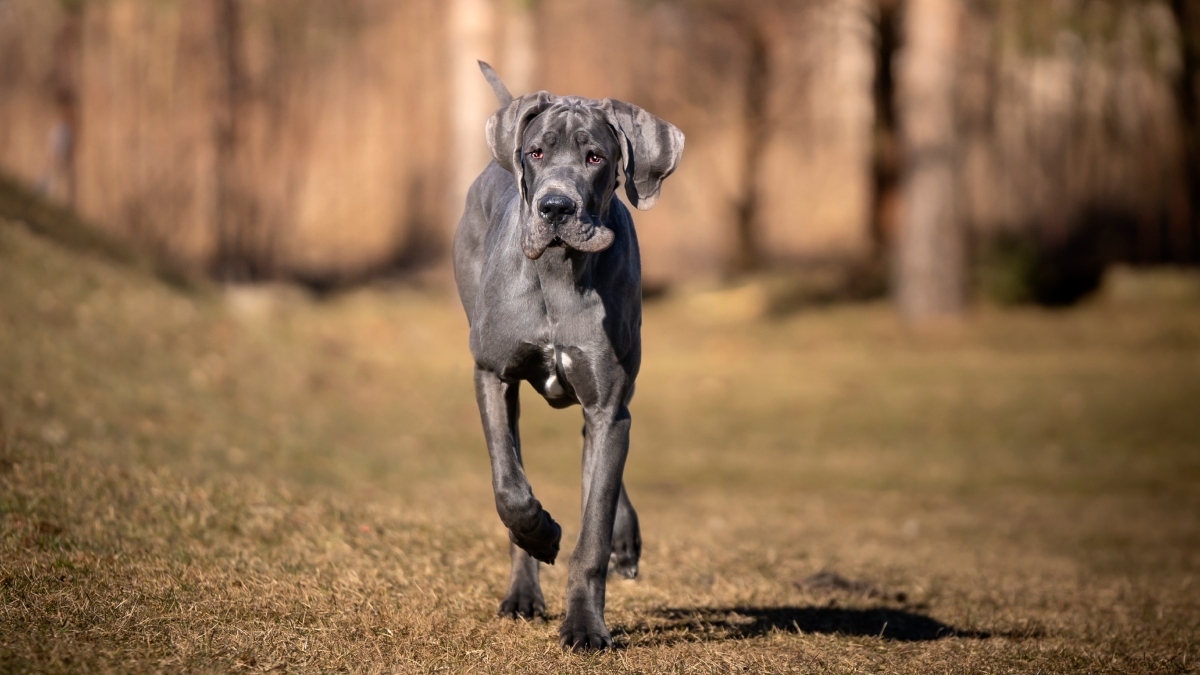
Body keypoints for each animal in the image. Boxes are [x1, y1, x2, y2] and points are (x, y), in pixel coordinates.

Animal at [451, 63, 686, 648]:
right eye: (537, 152)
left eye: (595, 157)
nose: (555, 207)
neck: (559, 272)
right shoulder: (492, 375)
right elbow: (510, 488)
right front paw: (542, 535)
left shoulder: (607, 403)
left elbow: (594, 525)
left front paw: (584, 624)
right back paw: (522, 593)